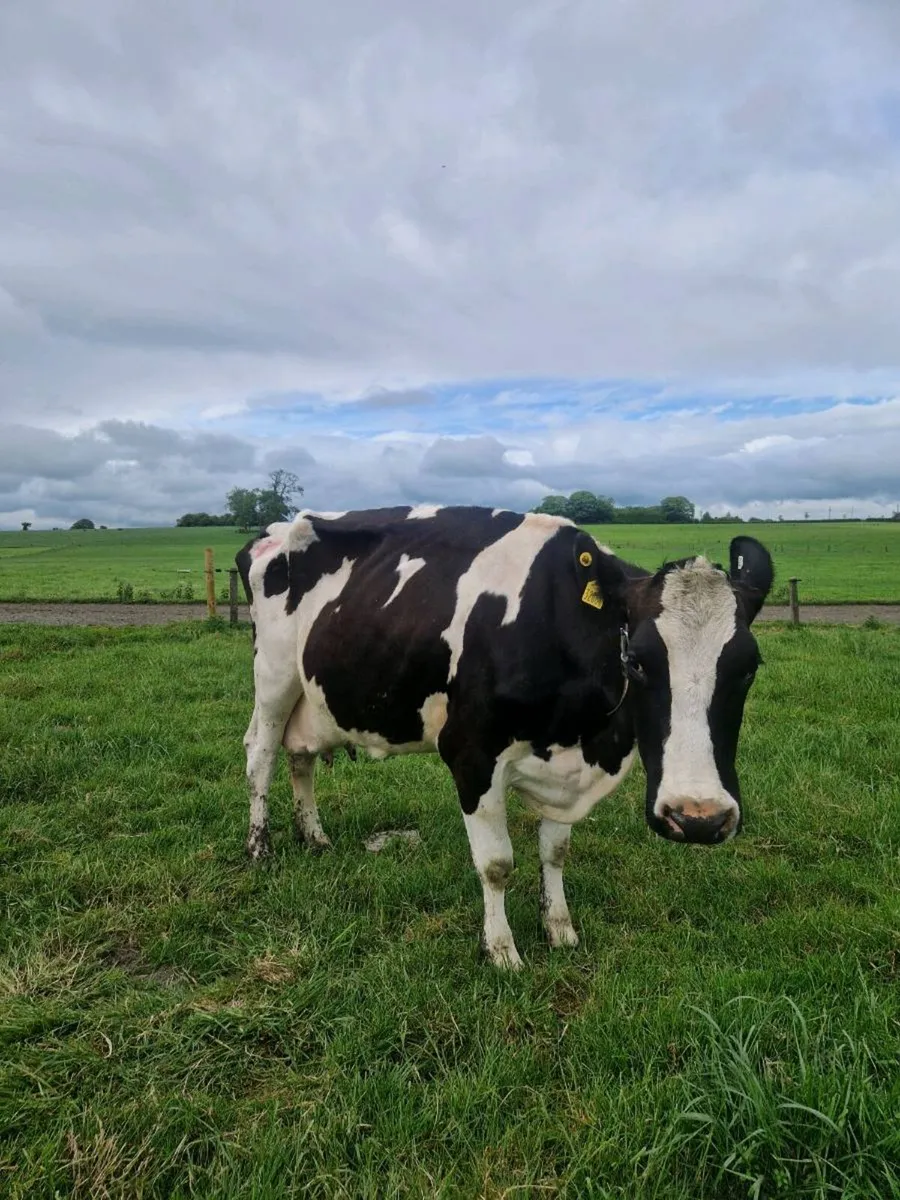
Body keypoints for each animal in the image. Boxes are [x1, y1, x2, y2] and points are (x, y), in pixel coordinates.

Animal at [236, 505, 773, 968]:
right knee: (260, 755)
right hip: (274, 674)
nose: (698, 818)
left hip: (312, 694)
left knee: (300, 757)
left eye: (749, 667)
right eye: (636, 661)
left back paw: (314, 836)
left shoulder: (568, 769)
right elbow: (496, 863)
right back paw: (259, 848)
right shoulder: (471, 755)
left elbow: (554, 851)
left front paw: (559, 928)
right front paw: (501, 951)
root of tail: (278, 528)